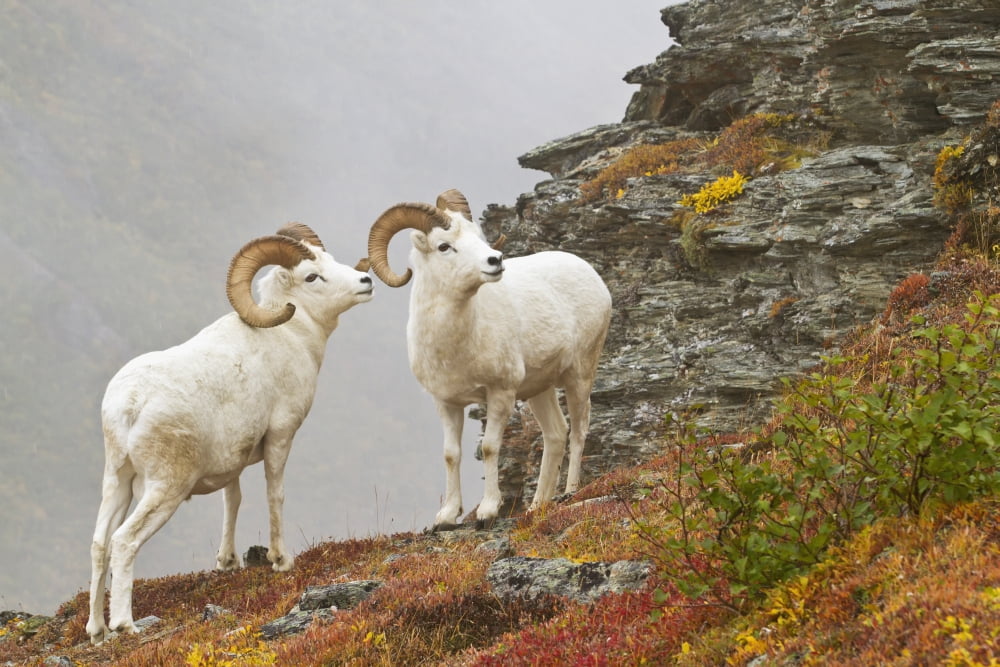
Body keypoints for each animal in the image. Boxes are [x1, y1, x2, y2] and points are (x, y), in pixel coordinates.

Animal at [85, 223, 373, 644]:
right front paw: (280, 561)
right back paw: (126, 624)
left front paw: (228, 562)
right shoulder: (280, 435)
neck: (292, 336)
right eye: (311, 276)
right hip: (164, 489)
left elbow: (232, 500)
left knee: (100, 543)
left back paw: (97, 630)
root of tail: (131, 404)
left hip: (118, 480)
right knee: (124, 542)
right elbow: (274, 494)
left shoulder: (232, 460)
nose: (366, 282)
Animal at [364, 189, 611, 529]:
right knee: (556, 433)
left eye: (477, 236)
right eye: (444, 246)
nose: (496, 261)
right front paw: (446, 516)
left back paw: (569, 491)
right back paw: (537, 506)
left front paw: (488, 510)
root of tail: (591, 274)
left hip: (580, 374)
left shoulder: (500, 393)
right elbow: (451, 454)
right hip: (540, 389)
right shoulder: (447, 403)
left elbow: (491, 447)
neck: (457, 343)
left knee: (579, 429)